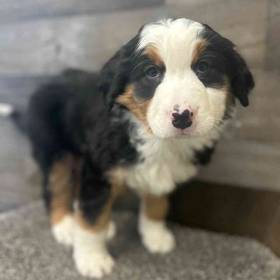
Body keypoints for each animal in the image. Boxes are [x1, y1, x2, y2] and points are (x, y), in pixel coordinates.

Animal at [26, 18, 254, 278]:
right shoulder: (99, 169)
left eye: (203, 67)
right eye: (152, 73)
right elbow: (92, 218)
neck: (158, 140)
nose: (182, 117)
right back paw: (65, 226)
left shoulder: (160, 173)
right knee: (55, 186)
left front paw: (155, 236)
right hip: (55, 149)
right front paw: (92, 259)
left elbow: (157, 202)